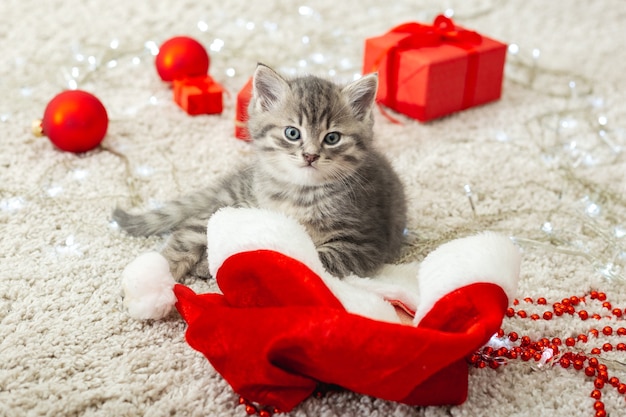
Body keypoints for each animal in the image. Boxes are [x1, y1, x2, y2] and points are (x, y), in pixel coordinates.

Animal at [111, 64, 404, 280]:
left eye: (332, 138)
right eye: (292, 133)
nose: (310, 155)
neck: (300, 193)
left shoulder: (364, 242)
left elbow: (314, 259)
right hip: (232, 204)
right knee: (187, 233)